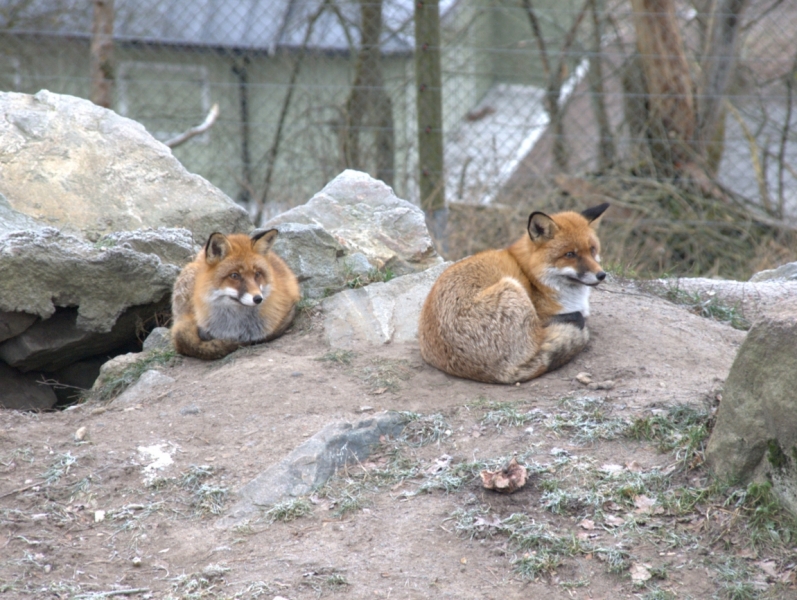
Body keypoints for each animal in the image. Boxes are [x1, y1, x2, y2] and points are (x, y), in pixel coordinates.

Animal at [416, 204, 608, 384]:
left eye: (592, 249)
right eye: (570, 254)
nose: (601, 275)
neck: (532, 277)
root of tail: (501, 374)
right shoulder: (542, 311)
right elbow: (574, 316)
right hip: (513, 288)